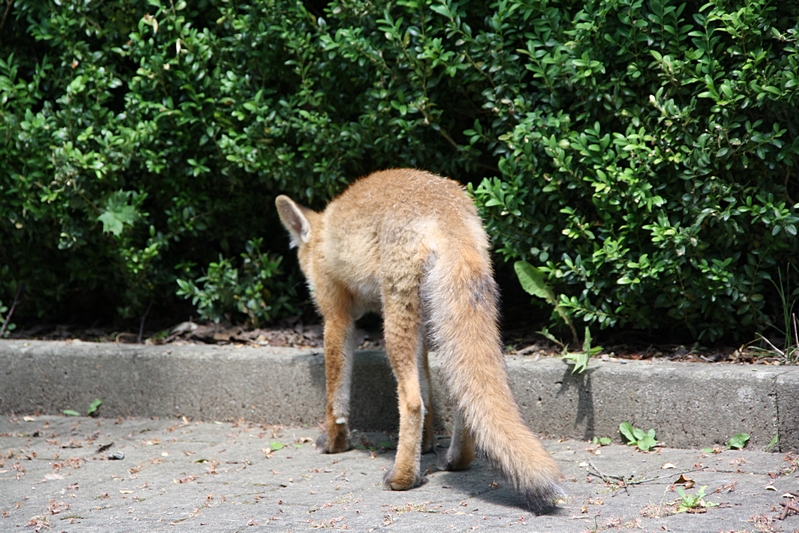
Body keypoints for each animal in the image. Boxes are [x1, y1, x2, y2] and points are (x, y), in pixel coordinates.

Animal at [275, 169, 564, 513]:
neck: (323, 238)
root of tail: (447, 210)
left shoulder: (336, 319)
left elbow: (337, 395)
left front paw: (334, 441)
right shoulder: (423, 337)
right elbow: (428, 388)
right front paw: (424, 446)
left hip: (395, 322)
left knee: (412, 402)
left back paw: (402, 478)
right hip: (439, 322)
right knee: (460, 397)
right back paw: (455, 460)